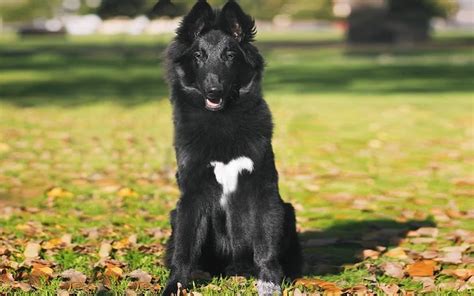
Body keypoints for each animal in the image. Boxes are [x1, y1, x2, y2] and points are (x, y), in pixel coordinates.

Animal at [163, 1, 302, 294]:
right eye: (199, 56)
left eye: (229, 56)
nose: (213, 91)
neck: (221, 119)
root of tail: (233, 268)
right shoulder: (191, 195)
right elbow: (184, 249)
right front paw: (175, 286)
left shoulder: (264, 190)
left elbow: (265, 249)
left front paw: (269, 283)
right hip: (175, 214)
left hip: (287, 211)